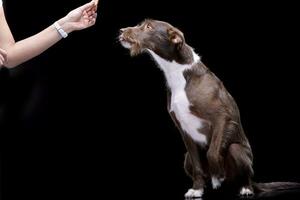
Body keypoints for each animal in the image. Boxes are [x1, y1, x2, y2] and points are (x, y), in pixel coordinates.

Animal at [119, 19, 298, 198]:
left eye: (148, 27)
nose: (121, 31)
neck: (179, 72)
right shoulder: (183, 129)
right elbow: (198, 166)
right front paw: (197, 189)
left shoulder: (222, 117)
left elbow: (212, 152)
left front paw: (217, 176)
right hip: (186, 159)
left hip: (236, 150)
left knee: (245, 174)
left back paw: (245, 188)